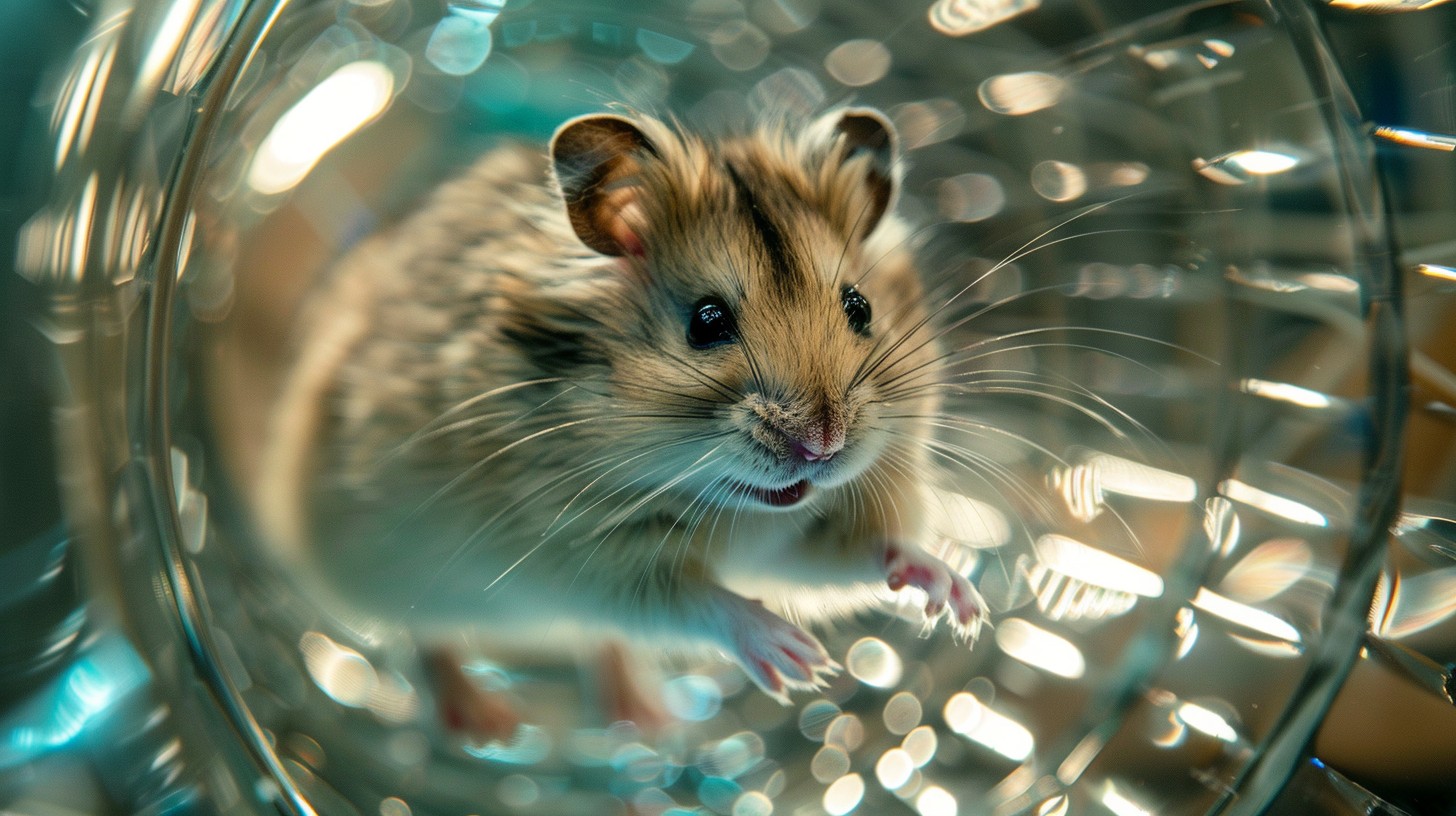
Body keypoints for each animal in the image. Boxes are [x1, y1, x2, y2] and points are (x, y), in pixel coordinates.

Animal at [257, 107, 987, 702]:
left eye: (860, 307)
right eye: (706, 321)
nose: (824, 444)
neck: (733, 510)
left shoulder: (798, 538)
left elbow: (865, 554)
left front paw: (961, 601)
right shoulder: (581, 559)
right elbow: (692, 601)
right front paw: (799, 663)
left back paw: (644, 717)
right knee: (429, 639)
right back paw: (485, 723)